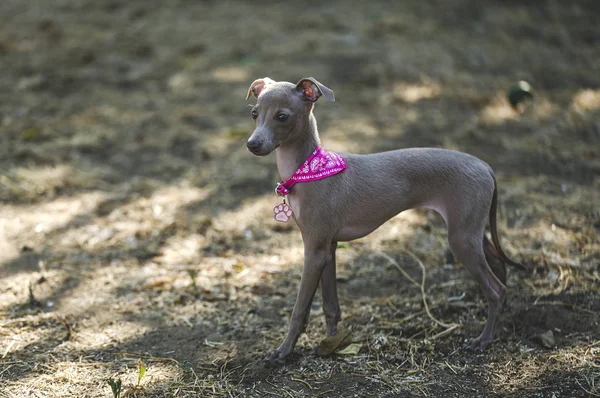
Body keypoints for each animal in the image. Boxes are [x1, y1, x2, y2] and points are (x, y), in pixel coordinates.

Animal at [244, 76, 520, 366]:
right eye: (254, 114)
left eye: (282, 116)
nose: (252, 144)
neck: (309, 169)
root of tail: (485, 166)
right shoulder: (328, 248)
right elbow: (331, 306)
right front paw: (331, 343)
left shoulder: (314, 250)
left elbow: (299, 310)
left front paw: (284, 351)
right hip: (471, 229)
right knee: (499, 267)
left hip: (461, 239)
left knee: (496, 289)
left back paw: (483, 340)